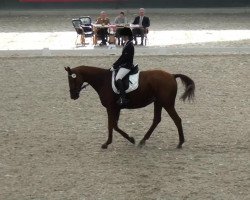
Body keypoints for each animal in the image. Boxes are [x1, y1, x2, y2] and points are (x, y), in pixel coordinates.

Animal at [65, 65, 195, 149]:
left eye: (72, 79)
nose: (73, 96)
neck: (103, 81)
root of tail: (172, 76)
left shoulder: (111, 108)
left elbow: (112, 125)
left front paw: (122, 140)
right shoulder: (115, 108)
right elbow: (113, 125)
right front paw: (110, 142)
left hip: (167, 103)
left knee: (177, 120)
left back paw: (180, 143)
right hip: (158, 103)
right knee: (157, 120)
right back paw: (143, 141)